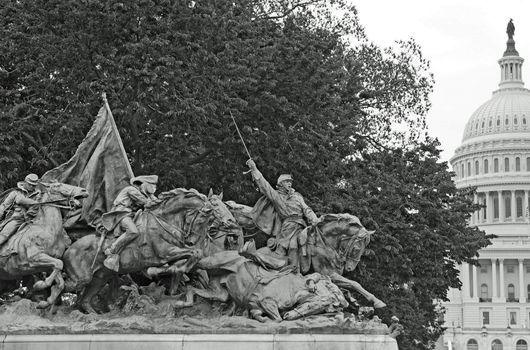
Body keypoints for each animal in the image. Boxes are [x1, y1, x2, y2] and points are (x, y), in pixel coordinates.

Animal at [0, 182, 87, 310]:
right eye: (57, 185)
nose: (84, 190)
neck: (46, 229)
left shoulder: (47, 264)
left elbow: (60, 278)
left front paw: (45, 302)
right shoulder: (34, 259)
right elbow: (59, 264)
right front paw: (40, 285)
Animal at [63, 187, 242, 314]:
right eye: (214, 209)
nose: (232, 222)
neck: (165, 221)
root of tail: (69, 249)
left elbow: (190, 261)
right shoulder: (166, 253)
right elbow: (189, 258)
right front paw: (170, 273)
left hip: (99, 277)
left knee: (84, 300)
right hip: (82, 278)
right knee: (64, 286)